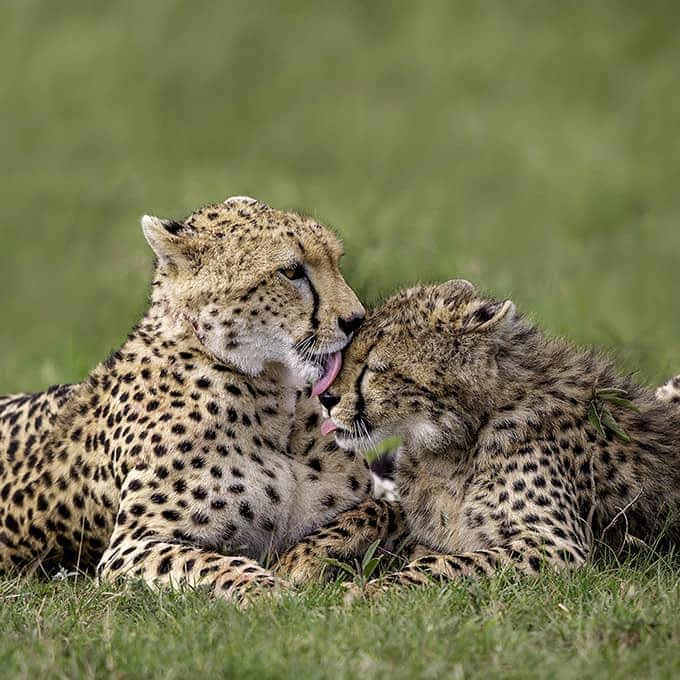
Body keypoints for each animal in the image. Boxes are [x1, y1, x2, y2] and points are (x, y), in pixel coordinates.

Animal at [0, 197, 378, 600]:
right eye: (291, 272)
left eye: (336, 260)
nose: (356, 320)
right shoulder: (130, 549)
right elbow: (218, 564)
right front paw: (272, 592)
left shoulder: (367, 501)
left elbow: (378, 511)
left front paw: (303, 560)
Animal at [274, 278, 680, 588]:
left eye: (377, 368)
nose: (325, 397)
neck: (462, 433)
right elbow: (378, 507)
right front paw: (301, 556)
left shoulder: (556, 546)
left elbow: (442, 563)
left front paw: (374, 590)